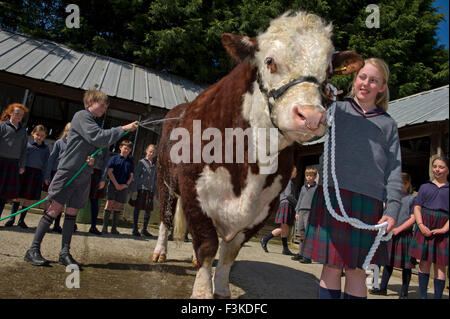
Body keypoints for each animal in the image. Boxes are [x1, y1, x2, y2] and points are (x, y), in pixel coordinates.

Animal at [151, 10, 362, 300]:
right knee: (165, 216)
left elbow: (230, 251)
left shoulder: (264, 206)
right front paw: (203, 291)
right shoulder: (194, 192)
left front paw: (221, 287)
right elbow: (207, 244)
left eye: (328, 71)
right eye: (270, 61)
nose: (311, 116)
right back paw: (160, 252)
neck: (247, 163)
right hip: (165, 181)